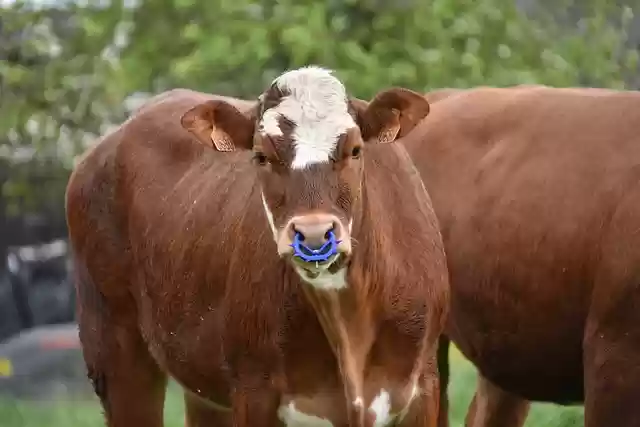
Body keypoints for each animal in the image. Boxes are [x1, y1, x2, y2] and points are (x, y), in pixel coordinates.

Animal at [65, 66, 450, 427]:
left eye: (355, 150)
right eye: (262, 156)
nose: (313, 234)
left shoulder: (423, 386)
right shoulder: (253, 390)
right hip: (114, 351)